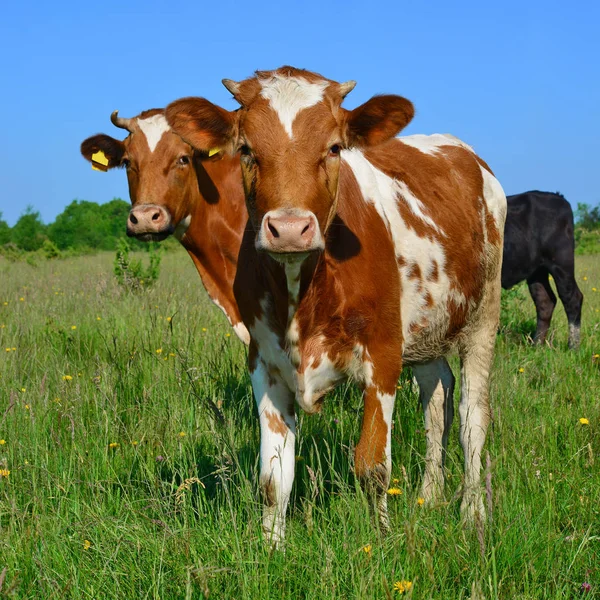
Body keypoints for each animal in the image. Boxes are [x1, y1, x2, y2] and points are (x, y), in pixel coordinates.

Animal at [164, 65, 506, 544]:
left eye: (334, 148)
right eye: (246, 149)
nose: (289, 228)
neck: (302, 291)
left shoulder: (383, 355)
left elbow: (372, 468)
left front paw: (382, 543)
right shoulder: (264, 363)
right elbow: (273, 479)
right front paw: (270, 549)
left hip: (483, 316)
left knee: (473, 417)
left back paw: (472, 512)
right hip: (426, 333)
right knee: (437, 399)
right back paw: (430, 494)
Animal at [502, 192, 580, 350]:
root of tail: (558, 197)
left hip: (561, 264)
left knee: (572, 299)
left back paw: (573, 347)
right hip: (537, 272)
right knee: (545, 301)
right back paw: (537, 346)